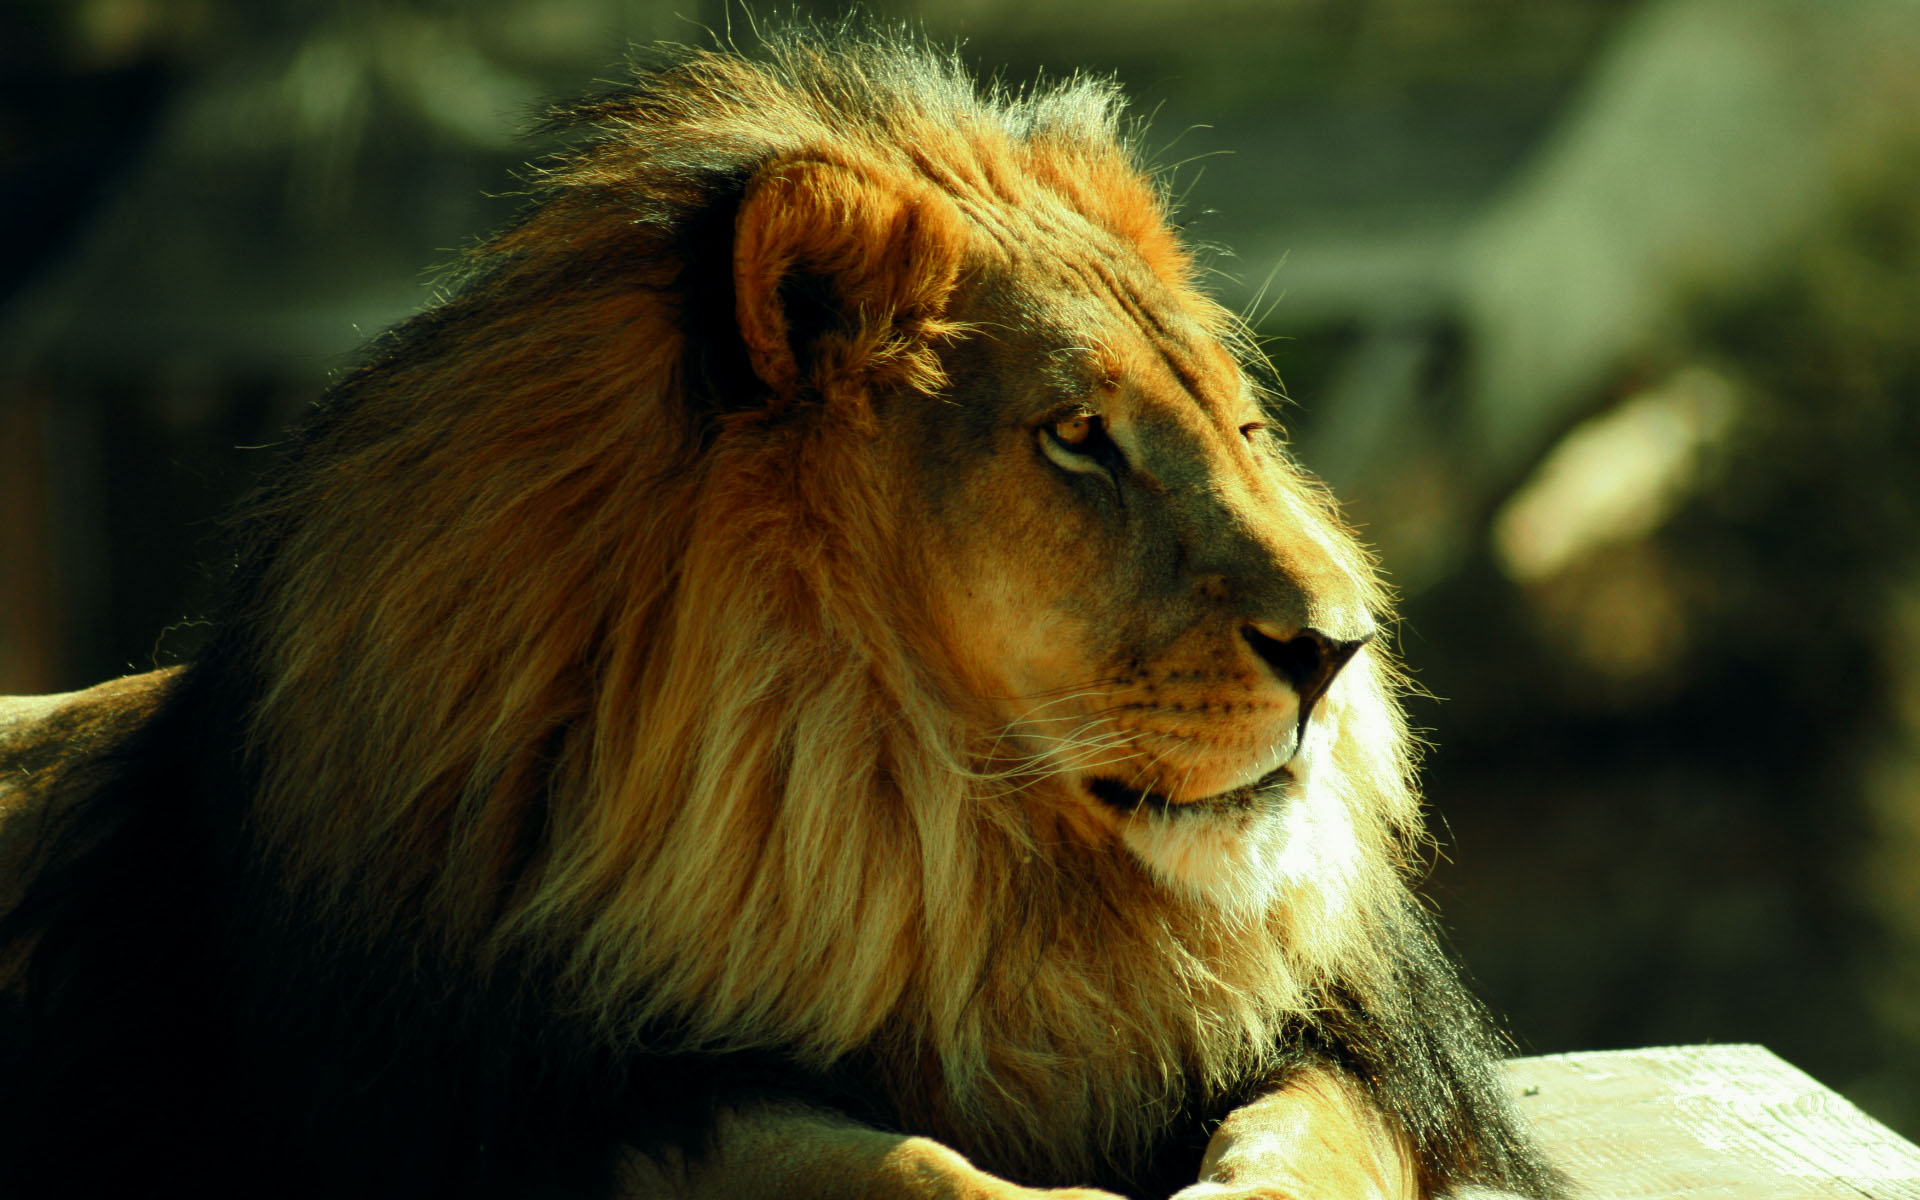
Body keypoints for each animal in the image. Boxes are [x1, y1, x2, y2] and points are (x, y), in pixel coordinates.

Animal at [0, 32, 1561, 1200]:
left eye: (1241, 426)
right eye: (1077, 439)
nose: (1337, 648)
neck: (929, 841)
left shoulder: (1351, 1051)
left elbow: (1313, 1130)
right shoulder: (525, 1100)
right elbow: (883, 1162)